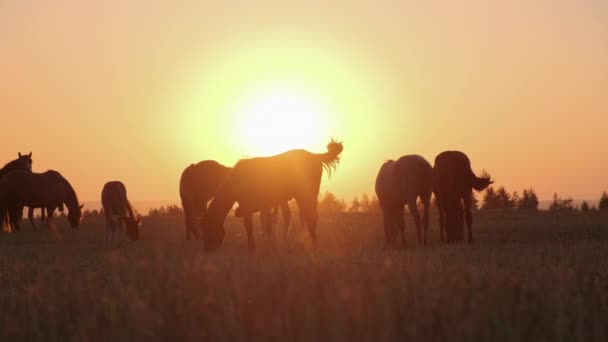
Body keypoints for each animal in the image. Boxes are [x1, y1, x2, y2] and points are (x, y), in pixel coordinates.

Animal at [203, 140, 342, 254]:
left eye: (208, 227)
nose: (207, 250)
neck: (235, 181)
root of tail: (314, 155)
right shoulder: (263, 206)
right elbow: (267, 225)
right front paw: (268, 245)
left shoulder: (248, 207)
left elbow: (250, 228)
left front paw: (253, 250)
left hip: (305, 194)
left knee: (310, 217)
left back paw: (312, 246)